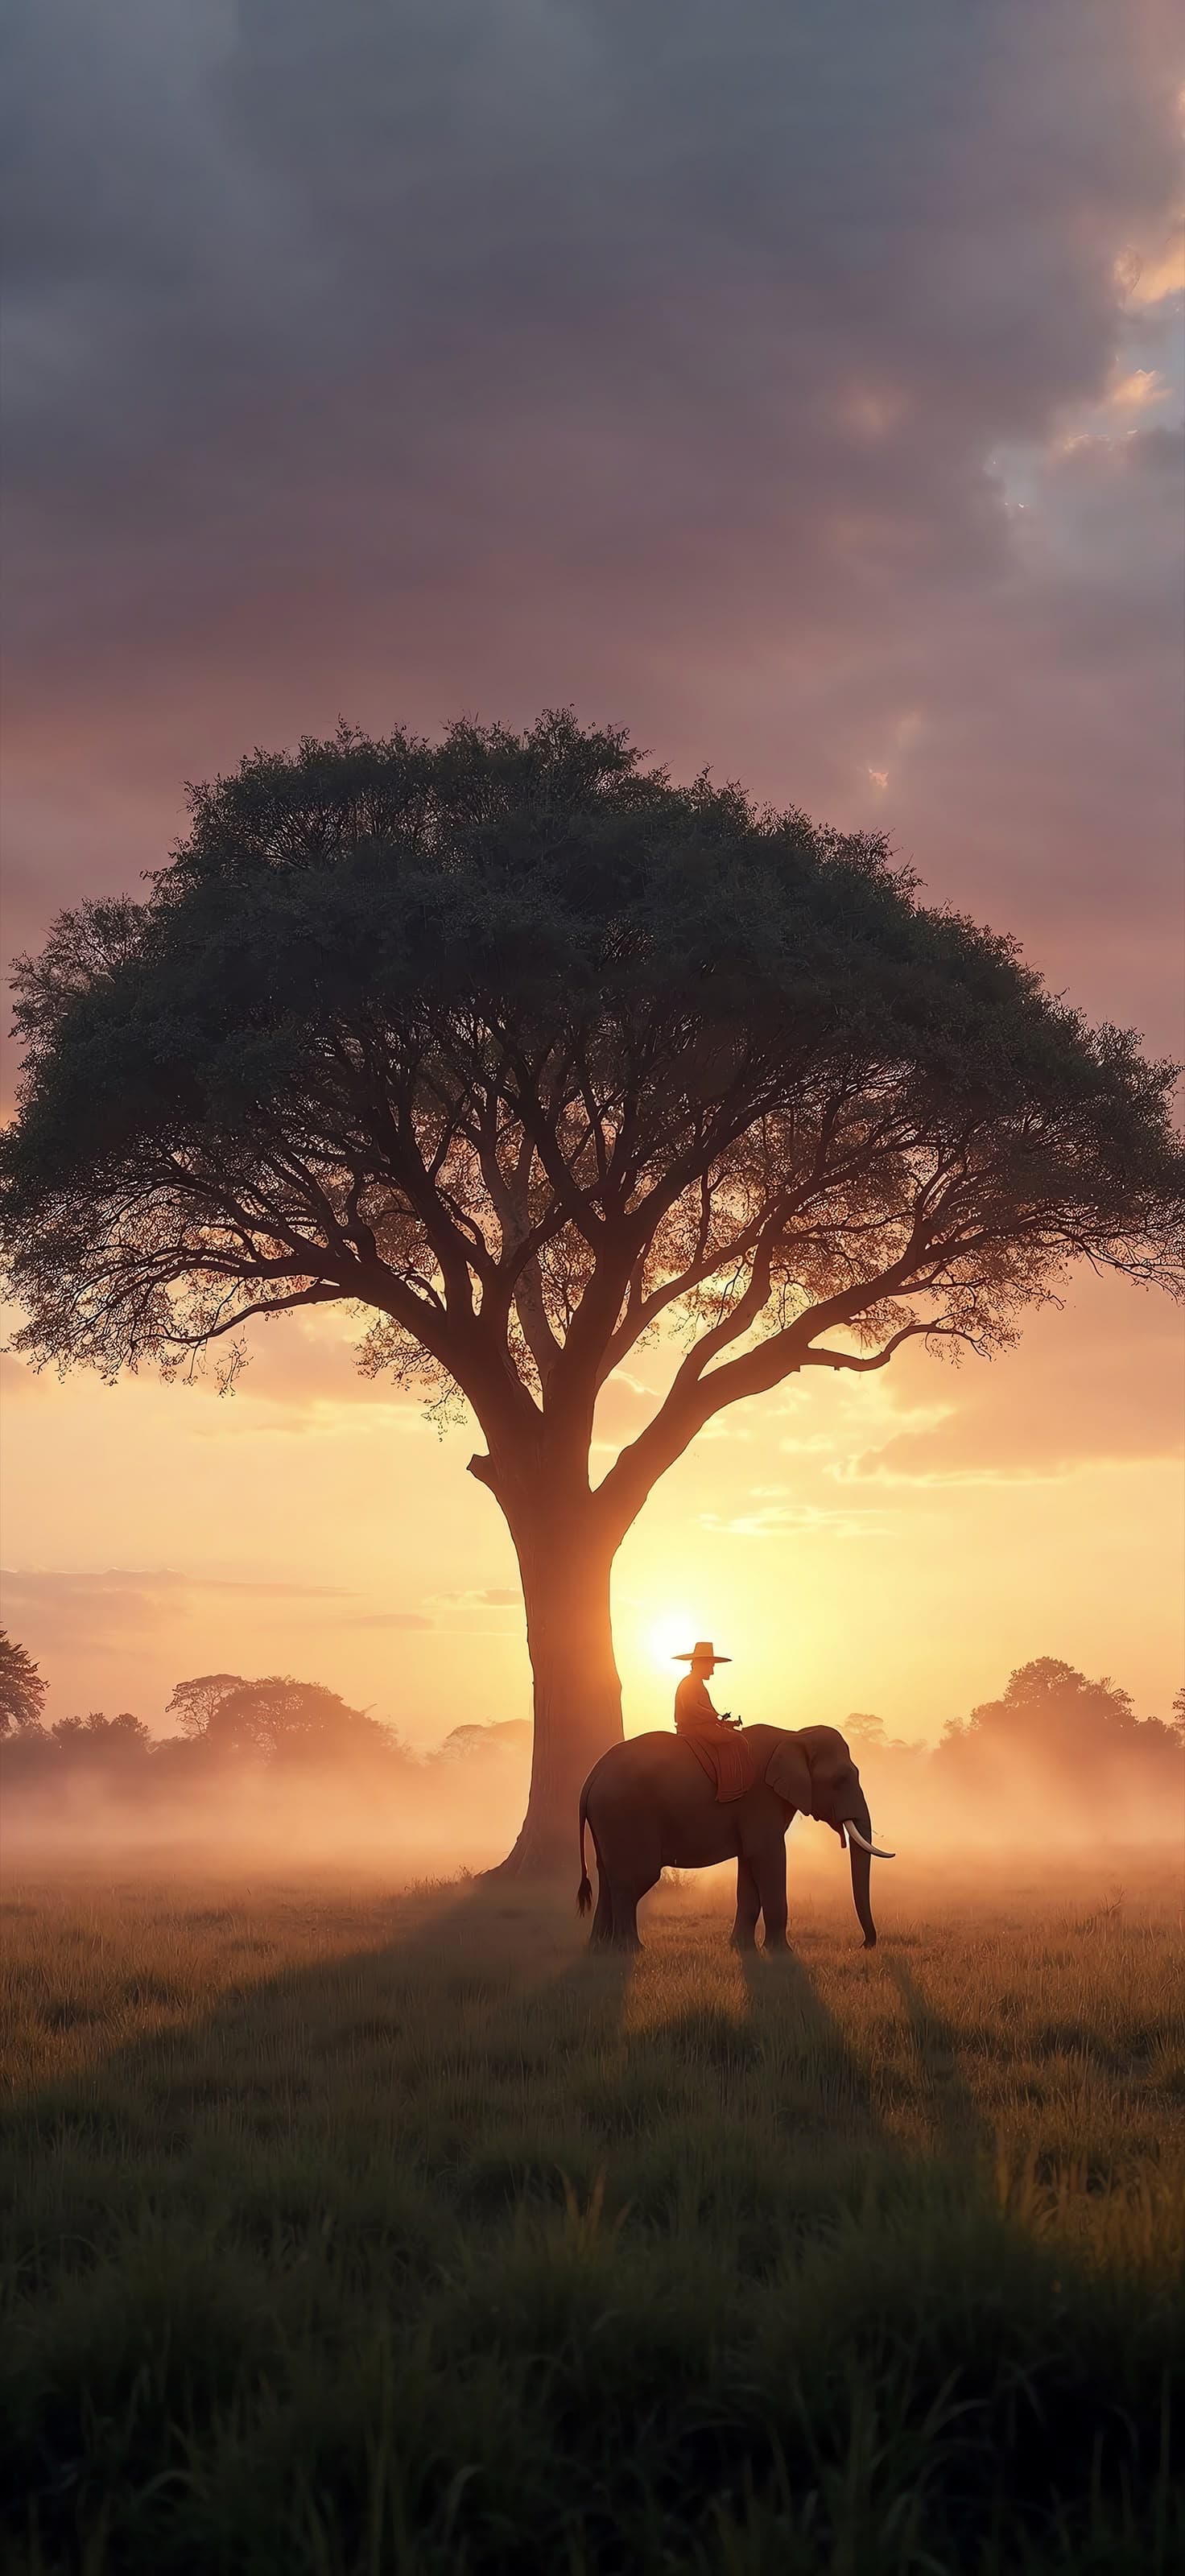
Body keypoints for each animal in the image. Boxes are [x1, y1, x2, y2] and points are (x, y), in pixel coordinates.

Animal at [576, 1723, 893, 1950]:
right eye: (840, 1780)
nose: (863, 1945)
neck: (794, 1735)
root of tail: (592, 1777)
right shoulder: (760, 1800)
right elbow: (767, 1856)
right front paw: (782, 1952)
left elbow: (750, 1865)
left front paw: (741, 1948)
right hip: (626, 1815)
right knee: (632, 1879)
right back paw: (632, 1949)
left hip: (608, 1821)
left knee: (607, 1875)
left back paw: (601, 1949)